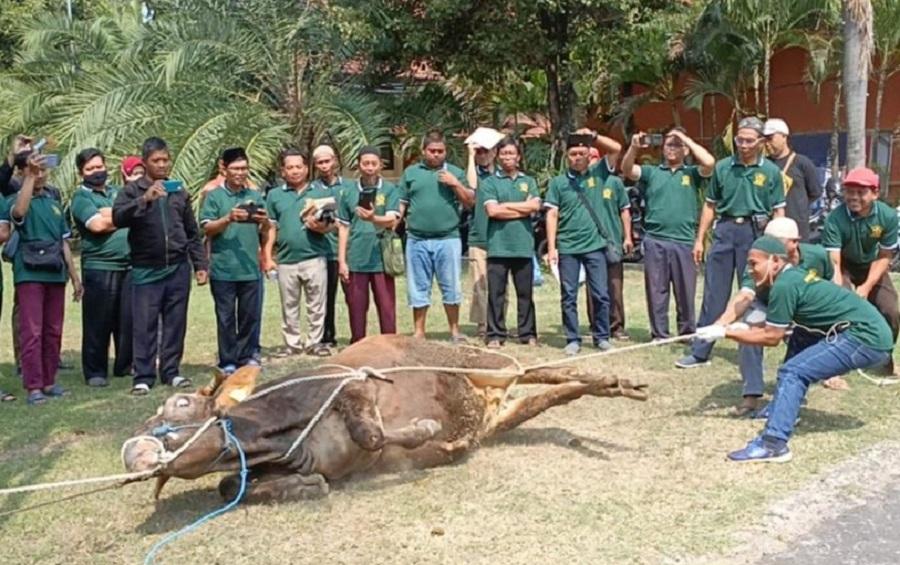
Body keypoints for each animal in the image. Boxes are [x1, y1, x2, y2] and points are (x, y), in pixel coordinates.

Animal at [121, 332, 648, 500]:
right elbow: (232, 485)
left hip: (484, 363)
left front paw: (424, 430)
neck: (279, 439)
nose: (131, 450)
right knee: (556, 391)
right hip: (500, 412)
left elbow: (371, 433)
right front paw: (304, 487)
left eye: (180, 405)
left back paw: (614, 379)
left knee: (538, 368)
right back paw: (608, 383)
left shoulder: (350, 383)